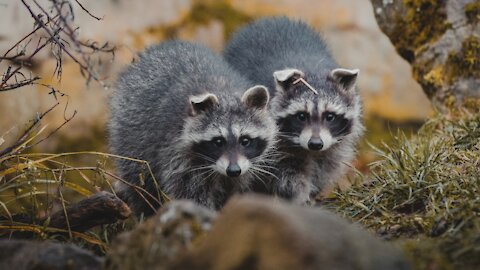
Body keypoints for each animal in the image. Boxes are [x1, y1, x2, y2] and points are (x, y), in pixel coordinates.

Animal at [107, 41, 276, 216]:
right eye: (218, 141)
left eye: (245, 140)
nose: (233, 170)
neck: (224, 92)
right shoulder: (177, 153)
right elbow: (190, 193)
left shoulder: (247, 166)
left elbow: (236, 188)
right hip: (130, 131)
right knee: (139, 180)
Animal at [225, 16, 364, 204]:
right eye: (301, 116)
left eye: (329, 116)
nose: (315, 143)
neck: (313, 69)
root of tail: (269, 19)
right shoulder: (275, 143)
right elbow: (287, 173)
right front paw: (298, 195)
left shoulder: (334, 144)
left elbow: (326, 165)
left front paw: (313, 192)